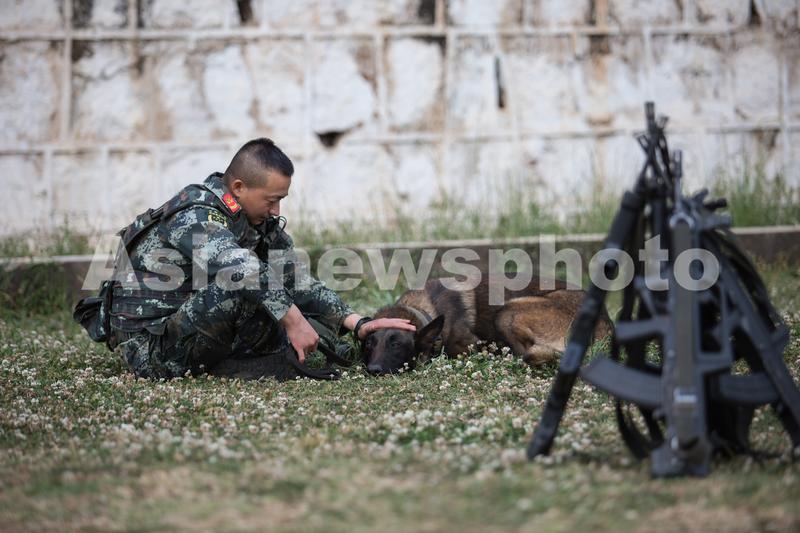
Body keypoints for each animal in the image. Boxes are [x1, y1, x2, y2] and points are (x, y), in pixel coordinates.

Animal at [362, 274, 613, 375]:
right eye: (369, 345)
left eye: (396, 344)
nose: (372, 370)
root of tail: (605, 321)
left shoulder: (471, 345)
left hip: (507, 312)